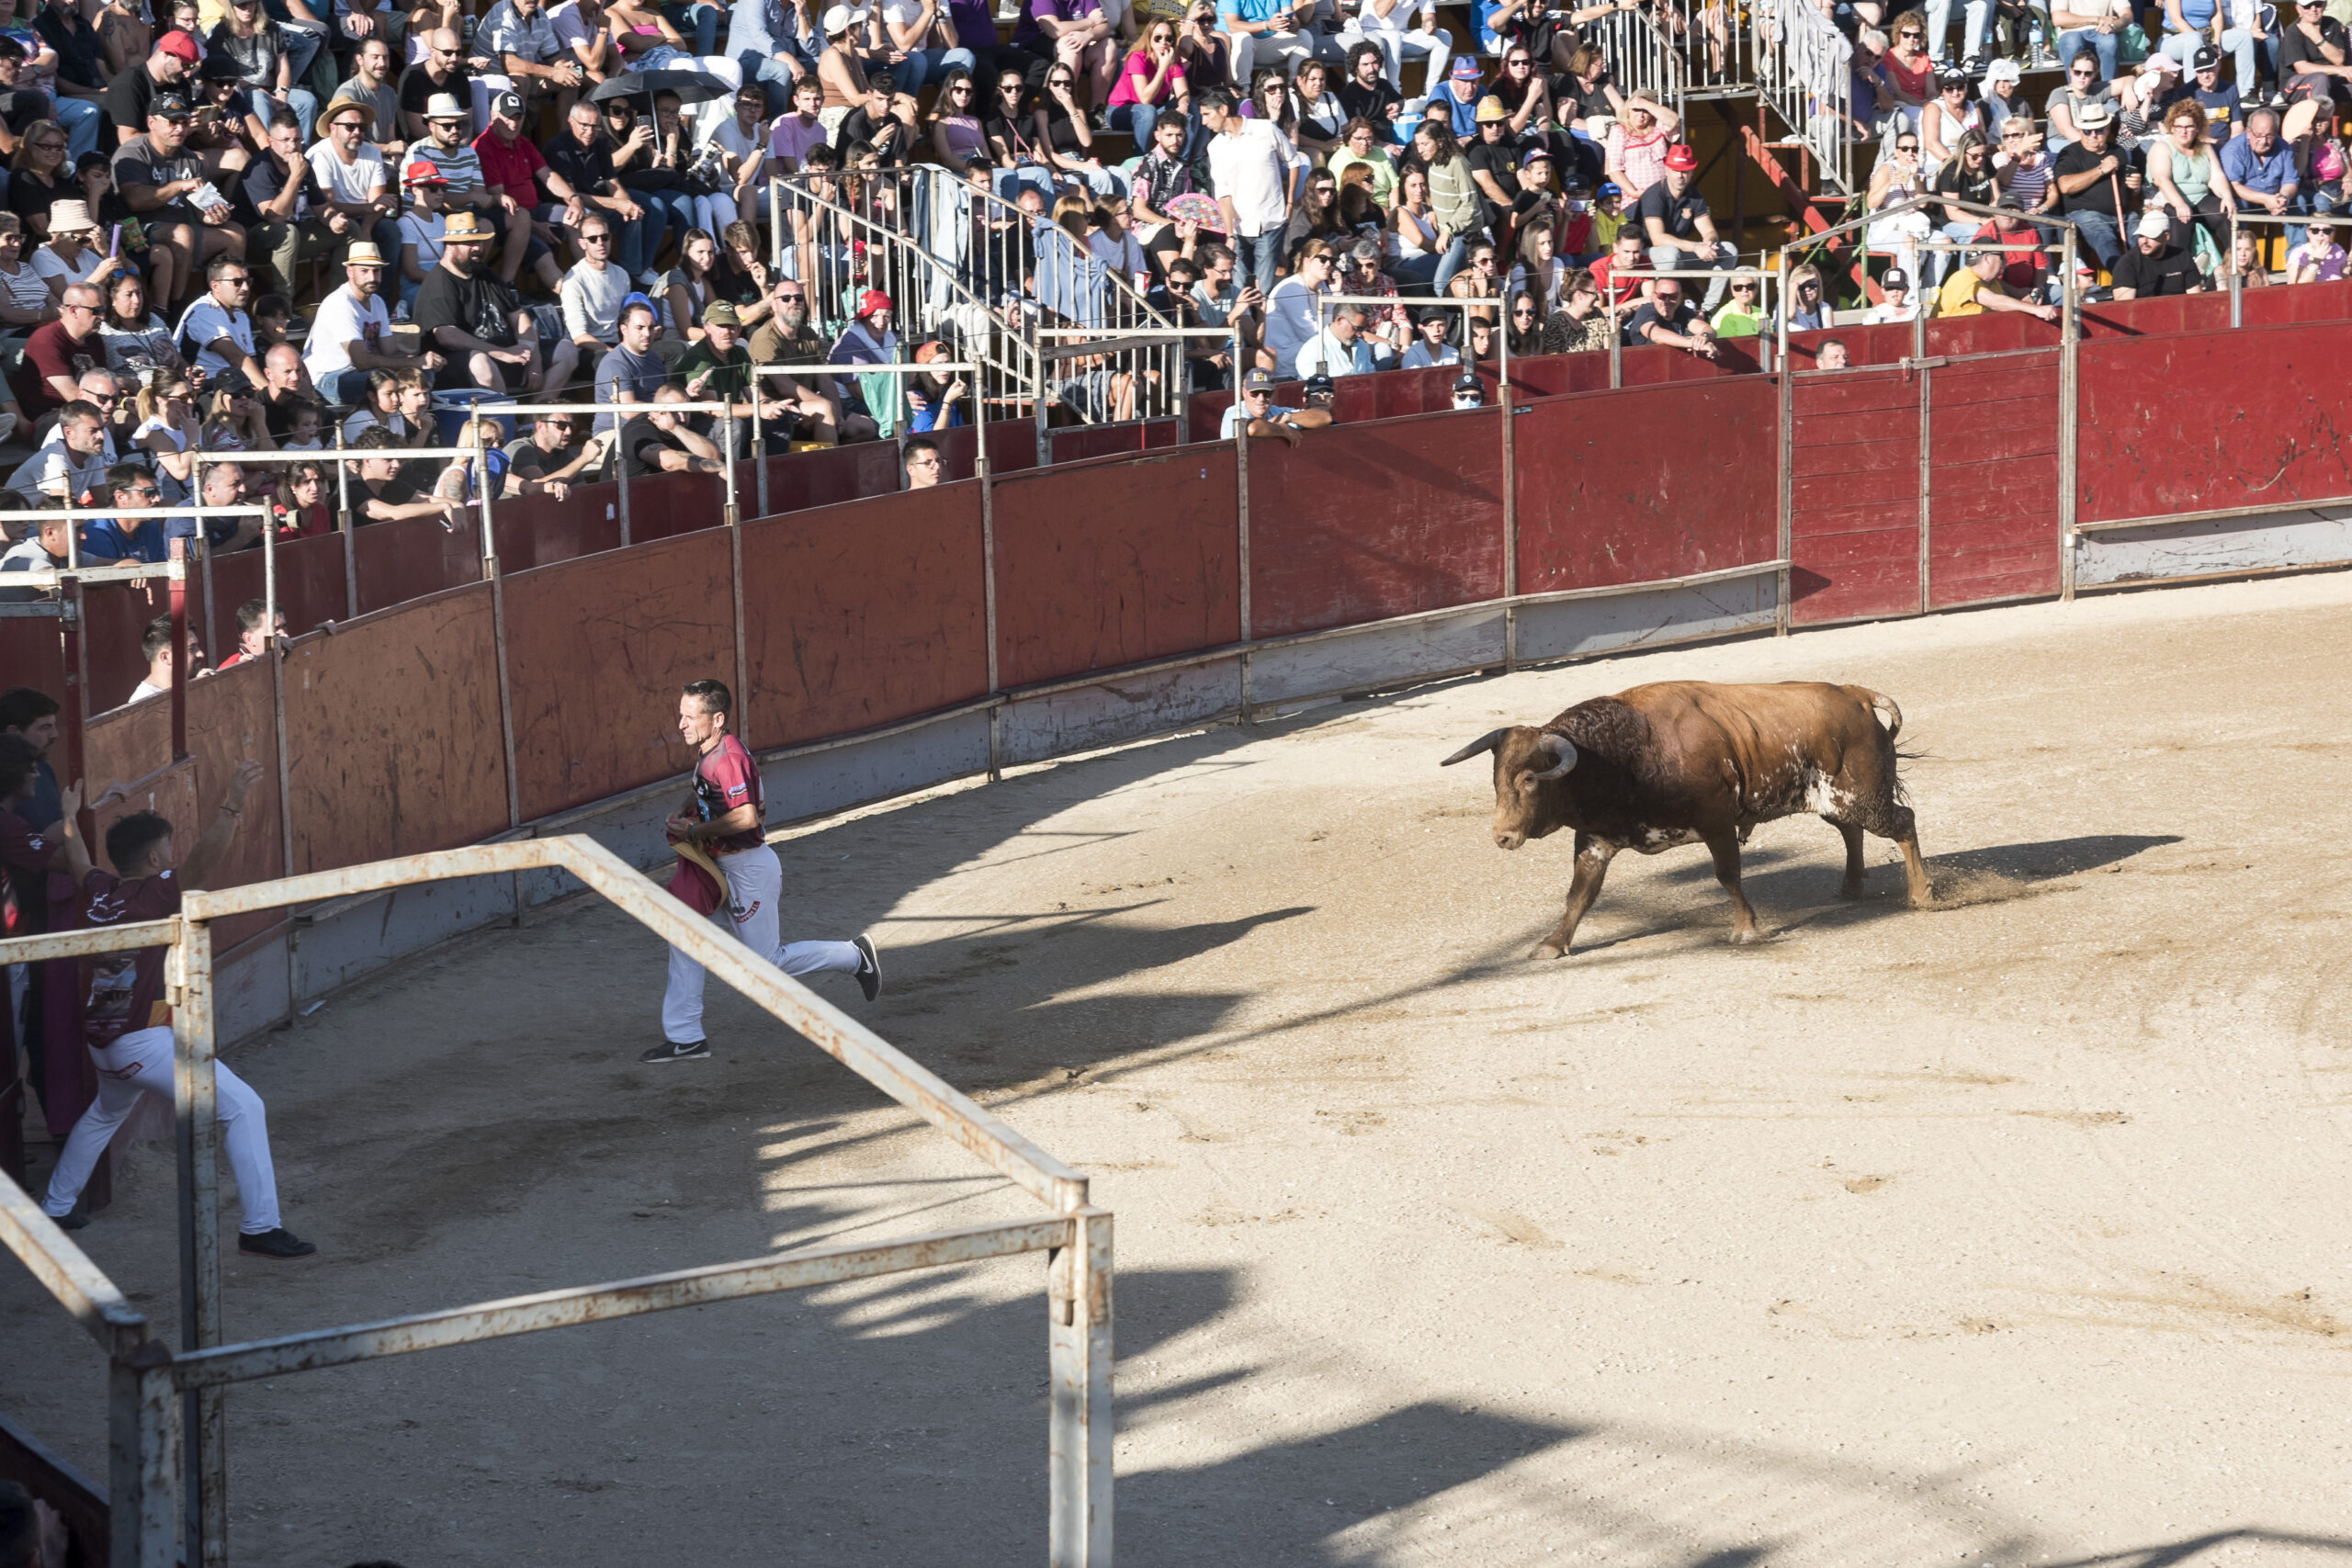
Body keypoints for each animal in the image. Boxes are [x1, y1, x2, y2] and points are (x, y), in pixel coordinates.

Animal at [1439, 682, 1938, 959]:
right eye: (1496, 777)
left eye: (1529, 779)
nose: (1503, 836)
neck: (1624, 753)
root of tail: (1856, 695)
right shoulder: (1596, 840)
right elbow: (1580, 895)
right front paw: (1553, 943)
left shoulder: (1716, 822)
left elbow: (1727, 874)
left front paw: (1745, 929)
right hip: (1835, 800)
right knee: (1853, 831)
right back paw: (1851, 886)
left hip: (1861, 796)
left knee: (1902, 823)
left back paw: (1921, 896)